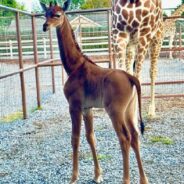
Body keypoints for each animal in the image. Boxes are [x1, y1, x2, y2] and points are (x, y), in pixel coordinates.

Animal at [41, 0, 148, 183]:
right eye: (45, 14)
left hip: (115, 111)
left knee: (124, 138)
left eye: (58, 14)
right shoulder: (87, 108)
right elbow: (90, 137)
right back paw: (144, 179)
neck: (74, 66)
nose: (45, 26)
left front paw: (73, 177)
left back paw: (126, 179)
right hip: (130, 110)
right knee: (134, 136)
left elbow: (75, 138)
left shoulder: (74, 106)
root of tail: (130, 77)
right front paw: (98, 175)